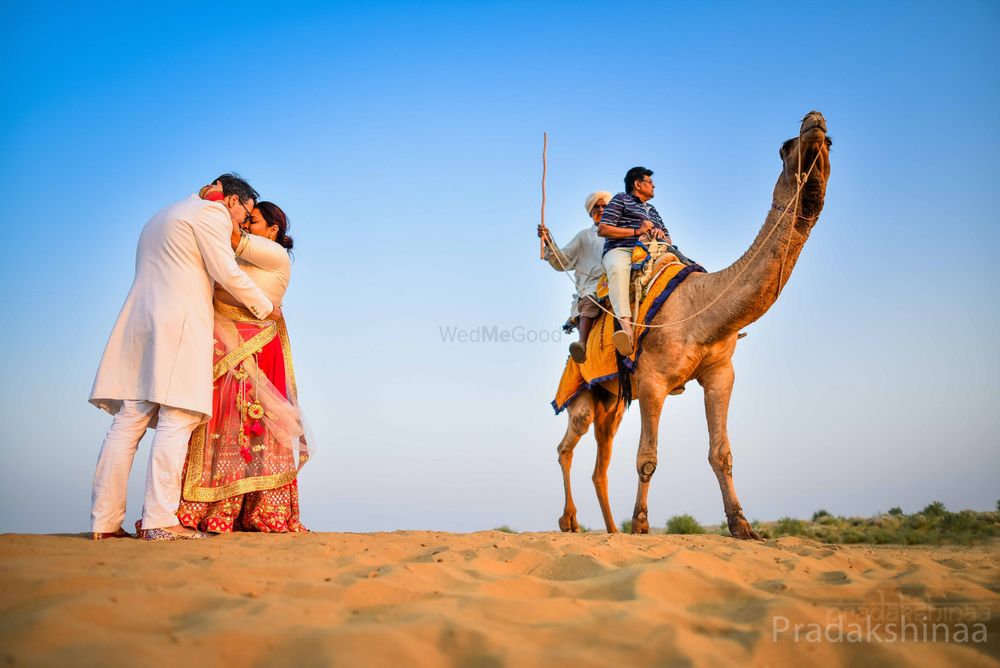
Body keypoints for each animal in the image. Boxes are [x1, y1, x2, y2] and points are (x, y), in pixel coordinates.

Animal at [560, 109, 832, 536]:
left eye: (830, 141)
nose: (815, 118)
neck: (702, 310)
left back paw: (610, 530)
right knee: (567, 445)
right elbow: (647, 457)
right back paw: (570, 521)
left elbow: (722, 453)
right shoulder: (653, 380)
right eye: (785, 147)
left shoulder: (720, 372)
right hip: (582, 387)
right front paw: (641, 525)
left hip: (613, 401)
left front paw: (743, 526)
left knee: (599, 463)